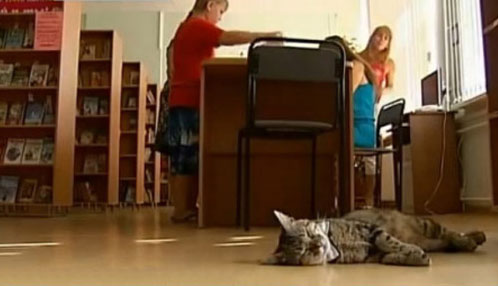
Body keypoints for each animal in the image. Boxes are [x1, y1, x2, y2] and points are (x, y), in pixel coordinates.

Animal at [264, 209, 486, 268]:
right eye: (305, 251)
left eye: (311, 234)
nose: (319, 243)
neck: (335, 244)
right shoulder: (369, 254)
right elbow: (388, 256)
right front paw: (413, 257)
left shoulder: (372, 230)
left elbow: (390, 241)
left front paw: (411, 252)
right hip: (432, 241)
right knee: (445, 241)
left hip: (425, 224)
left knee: (449, 233)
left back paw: (474, 237)